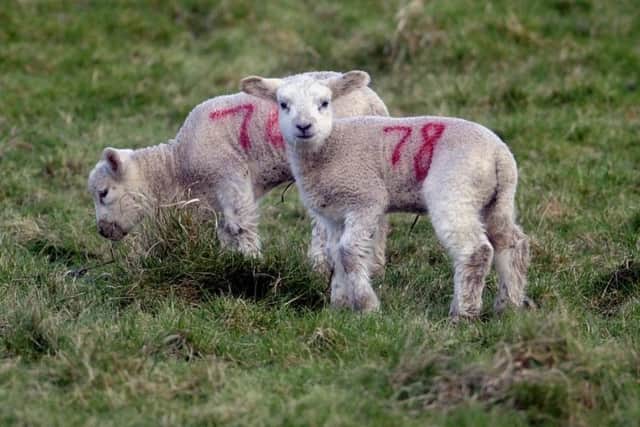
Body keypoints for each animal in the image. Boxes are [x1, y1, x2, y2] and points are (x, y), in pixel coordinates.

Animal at [87, 71, 389, 273]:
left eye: (103, 193)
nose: (102, 230)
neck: (177, 165)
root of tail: (373, 101)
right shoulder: (220, 192)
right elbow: (226, 229)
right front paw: (228, 260)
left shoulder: (230, 176)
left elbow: (241, 225)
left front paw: (251, 266)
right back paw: (375, 265)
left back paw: (320, 265)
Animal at [241, 70, 531, 319]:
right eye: (283, 104)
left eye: (324, 103)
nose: (304, 126)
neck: (330, 146)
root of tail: (499, 154)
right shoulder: (334, 214)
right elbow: (335, 254)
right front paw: (339, 304)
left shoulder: (365, 199)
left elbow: (348, 251)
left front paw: (366, 304)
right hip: (497, 199)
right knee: (511, 242)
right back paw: (508, 305)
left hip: (454, 189)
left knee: (475, 250)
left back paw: (463, 312)